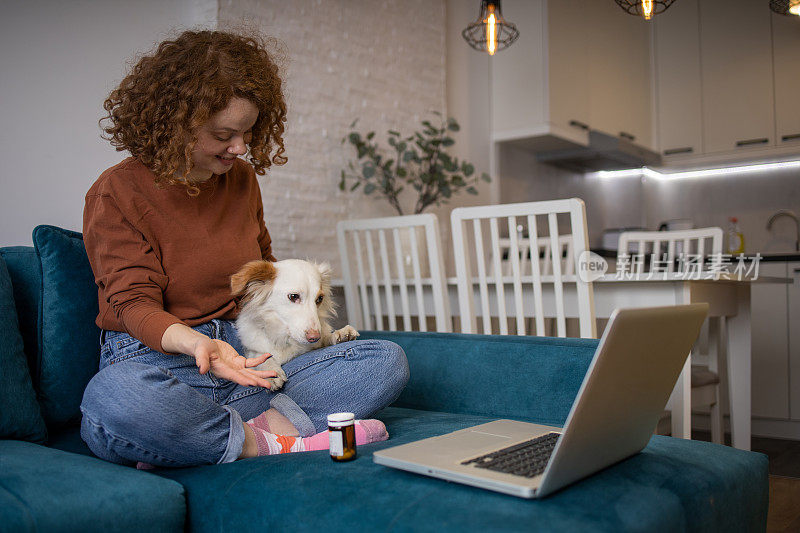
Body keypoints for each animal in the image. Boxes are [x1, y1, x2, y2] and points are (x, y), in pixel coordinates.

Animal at [230, 258, 358, 388]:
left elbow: (326, 338)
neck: (284, 338)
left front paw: (340, 334)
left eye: (319, 299)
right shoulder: (250, 350)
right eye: (293, 296)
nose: (314, 337)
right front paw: (270, 371)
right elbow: (259, 356)